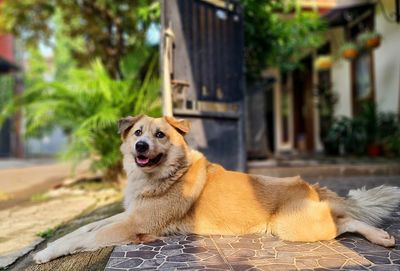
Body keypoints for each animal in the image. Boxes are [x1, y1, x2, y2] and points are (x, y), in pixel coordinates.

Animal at [34, 115, 400, 264]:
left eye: (160, 135)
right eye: (138, 132)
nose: (140, 146)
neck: (167, 175)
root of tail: (308, 185)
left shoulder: (134, 224)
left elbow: (84, 237)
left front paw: (47, 254)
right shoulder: (128, 215)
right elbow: (84, 228)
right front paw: (50, 246)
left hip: (294, 227)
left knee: (342, 221)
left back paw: (379, 236)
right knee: (343, 217)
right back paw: (380, 236)